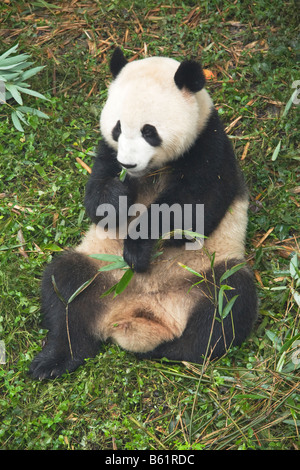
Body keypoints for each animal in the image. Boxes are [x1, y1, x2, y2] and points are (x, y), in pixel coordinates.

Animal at [28, 47, 258, 380]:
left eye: (149, 131)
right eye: (118, 128)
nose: (128, 163)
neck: (152, 170)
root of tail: (135, 317)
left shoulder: (210, 148)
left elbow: (194, 212)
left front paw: (138, 247)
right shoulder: (106, 153)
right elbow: (96, 199)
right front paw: (116, 197)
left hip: (204, 273)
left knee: (225, 306)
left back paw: (172, 352)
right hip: (100, 268)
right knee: (65, 290)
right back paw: (53, 361)